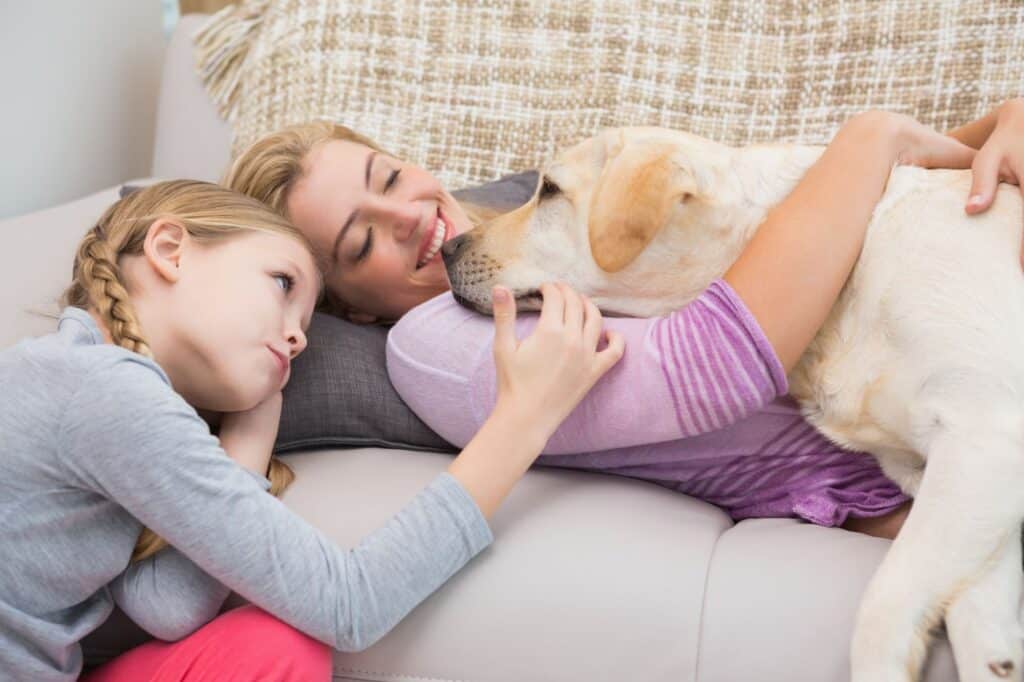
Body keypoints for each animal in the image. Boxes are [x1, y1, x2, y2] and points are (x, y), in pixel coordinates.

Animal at [444, 127, 1024, 679]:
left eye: (551, 190)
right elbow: (974, 612)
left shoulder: (984, 439)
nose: (448, 248)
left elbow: (885, 603)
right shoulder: (961, 477)